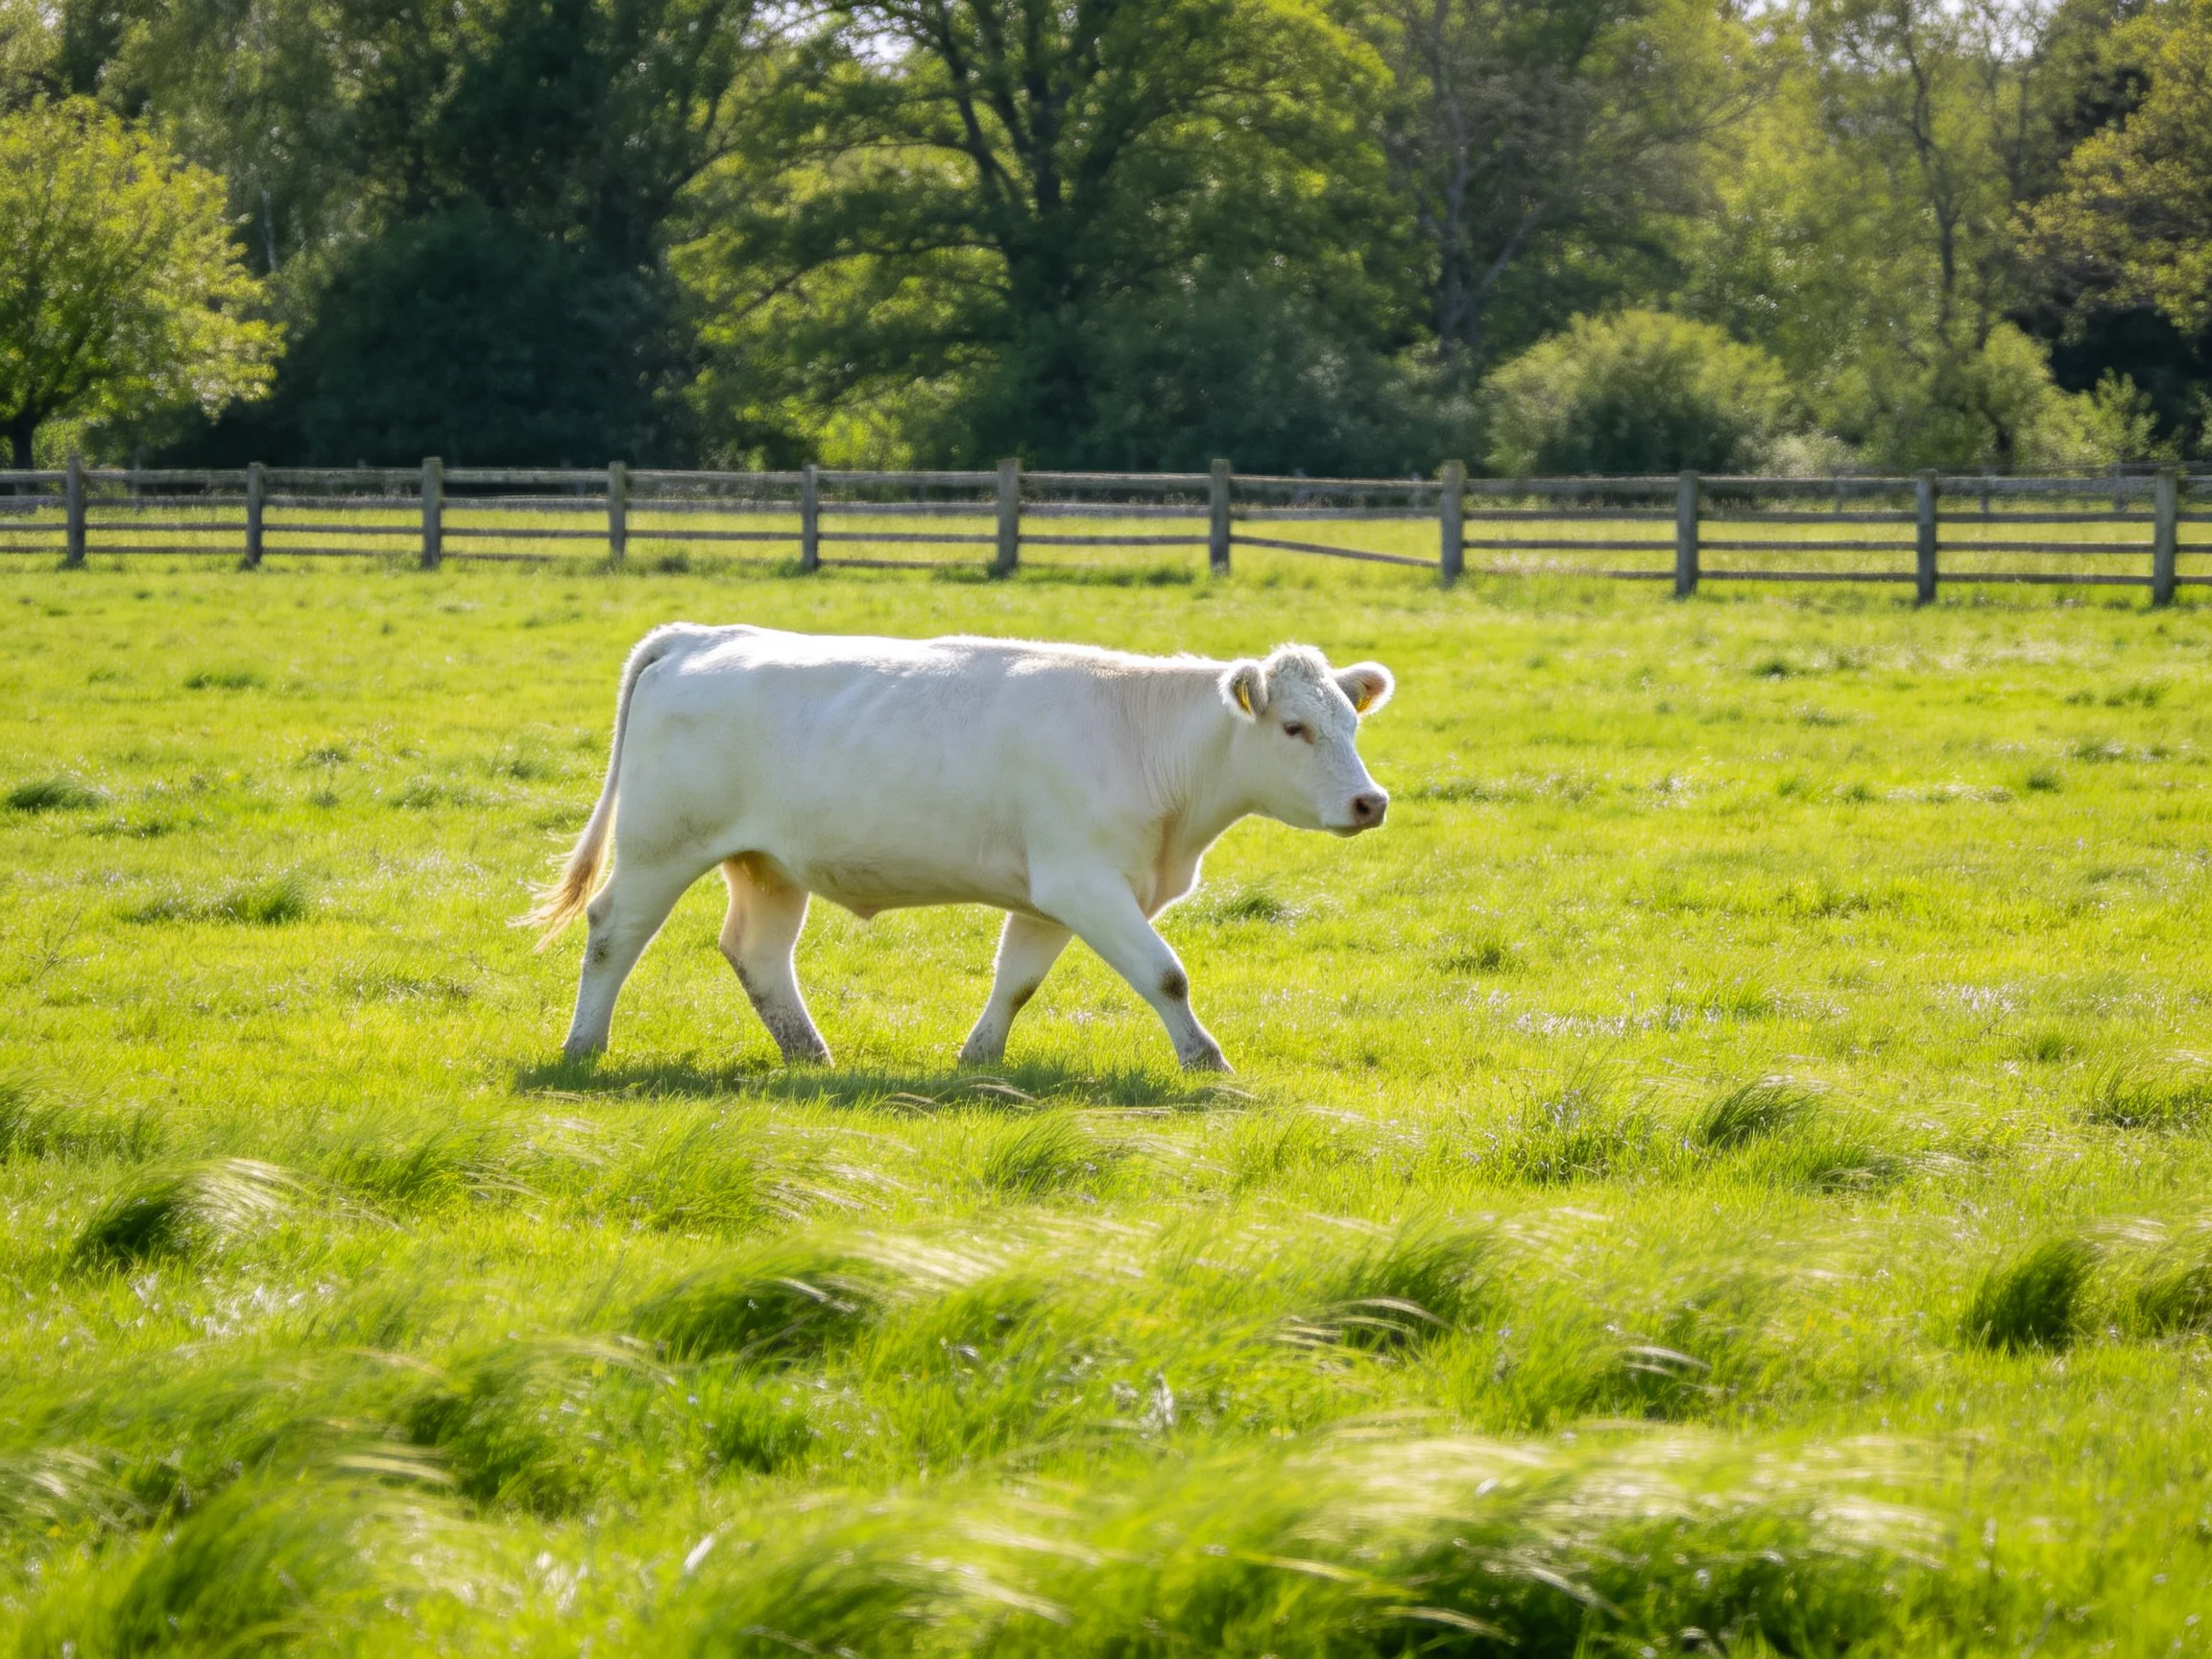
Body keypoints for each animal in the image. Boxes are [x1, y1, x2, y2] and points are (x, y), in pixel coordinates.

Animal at [525, 625, 1394, 1072]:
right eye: (1295, 727)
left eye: (1350, 723)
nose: (1371, 801)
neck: (1144, 736)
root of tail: (701, 636)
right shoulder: (1085, 883)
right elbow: (1165, 974)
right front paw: (1206, 1062)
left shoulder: (1056, 896)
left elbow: (1017, 981)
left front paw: (978, 1058)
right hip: (660, 847)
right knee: (612, 932)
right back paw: (583, 1045)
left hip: (769, 865)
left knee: (757, 953)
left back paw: (811, 1055)